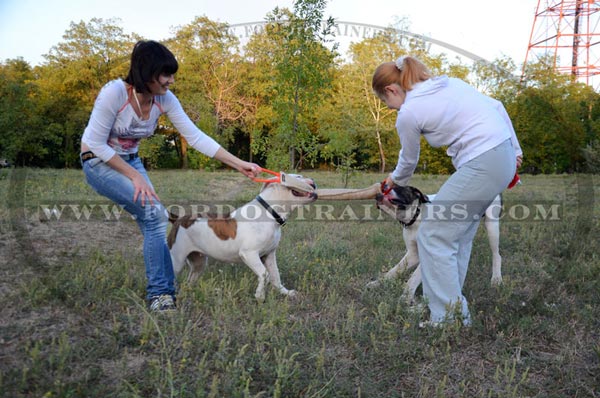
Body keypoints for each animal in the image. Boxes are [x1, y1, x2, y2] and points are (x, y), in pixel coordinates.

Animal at [166, 174, 316, 302]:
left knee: (189, 281)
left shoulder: (269, 254)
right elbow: (264, 274)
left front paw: (285, 292)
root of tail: (178, 219)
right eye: (298, 177)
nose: (313, 181)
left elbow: (275, 275)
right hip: (177, 260)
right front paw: (260, 296)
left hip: (198, 262)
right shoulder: (249, 254)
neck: (269, 211)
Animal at [370, 183, 502, 302]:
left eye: (397, 187)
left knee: (497, 255)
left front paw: (406, 298)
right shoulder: (412, 254)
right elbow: (394, 270)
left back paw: (496, 279)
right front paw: (377, 283)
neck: (417, 216)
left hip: (492, 227)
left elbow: (413, 278)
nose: (378, 192)